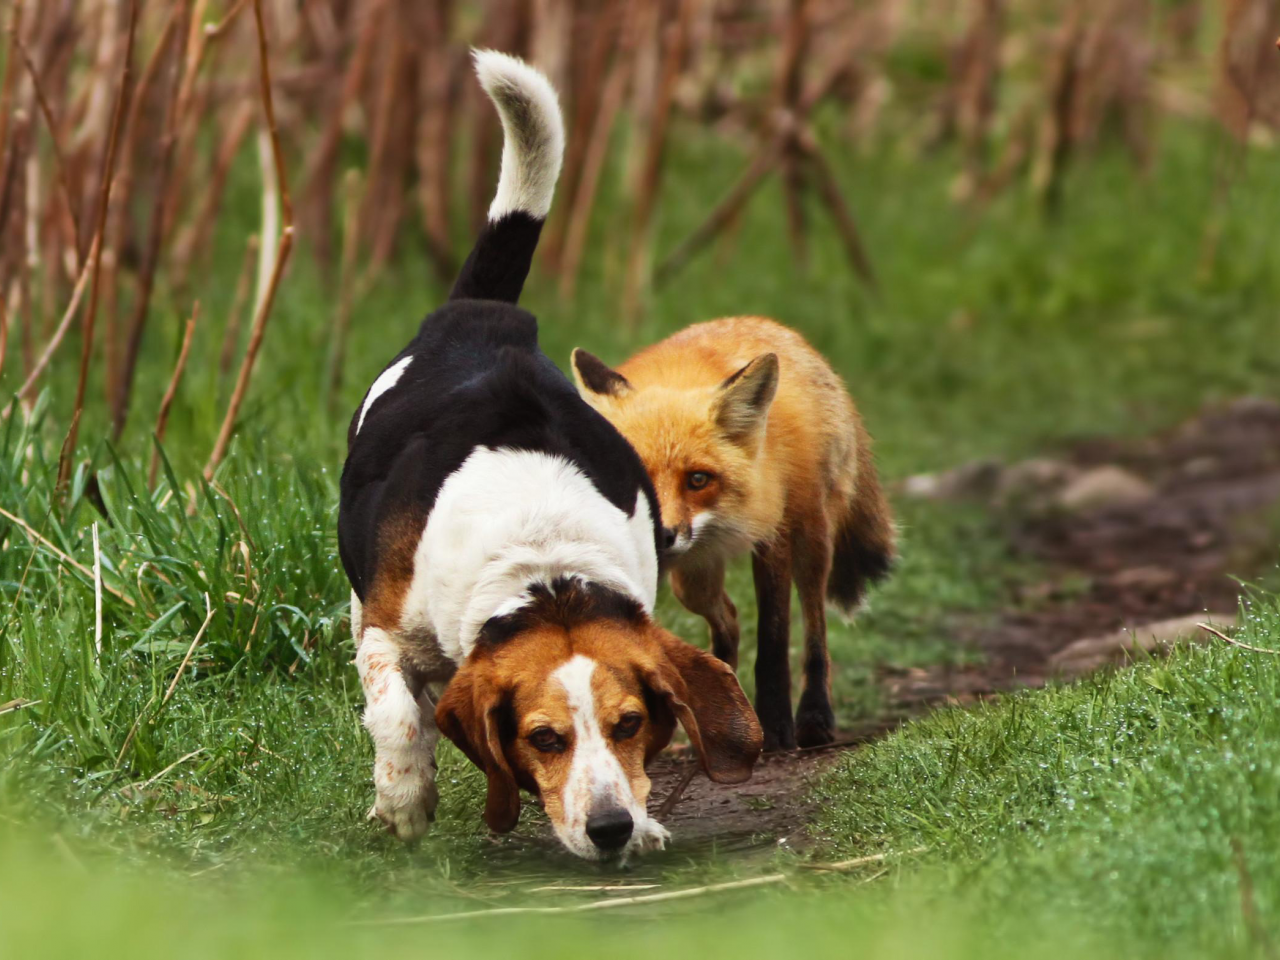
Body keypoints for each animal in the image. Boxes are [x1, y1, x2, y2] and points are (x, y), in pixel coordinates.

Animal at [335, 52, 762, 865]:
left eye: (630, 724)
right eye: (543, 738)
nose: (611, 828)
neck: (545, 570)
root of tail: (486, 316)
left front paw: (647, 821)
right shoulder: (386, 629)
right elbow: (396, 711)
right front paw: (404, 796)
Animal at [576, 320, 896, 757]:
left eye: (698, 480)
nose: (661, 536)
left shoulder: (773, 536)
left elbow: (773, 641)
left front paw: (776, 729)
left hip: (812, 541)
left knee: (814, 625)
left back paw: (814, 718)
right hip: (691, 582)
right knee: (727, 620)